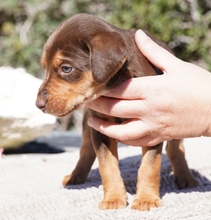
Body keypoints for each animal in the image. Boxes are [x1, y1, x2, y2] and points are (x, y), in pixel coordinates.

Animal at [35, 12, 199, 211]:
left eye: (66, 68)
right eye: (45, 67)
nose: (38, 104)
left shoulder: (153, 127)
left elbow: (149, 166)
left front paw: (146, 199)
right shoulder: (100, 130)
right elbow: (108, 166)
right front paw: (113, 199)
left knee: (176, 149)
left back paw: (186, 178)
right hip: (87, 124)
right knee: (86, 150)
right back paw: (75, 176)